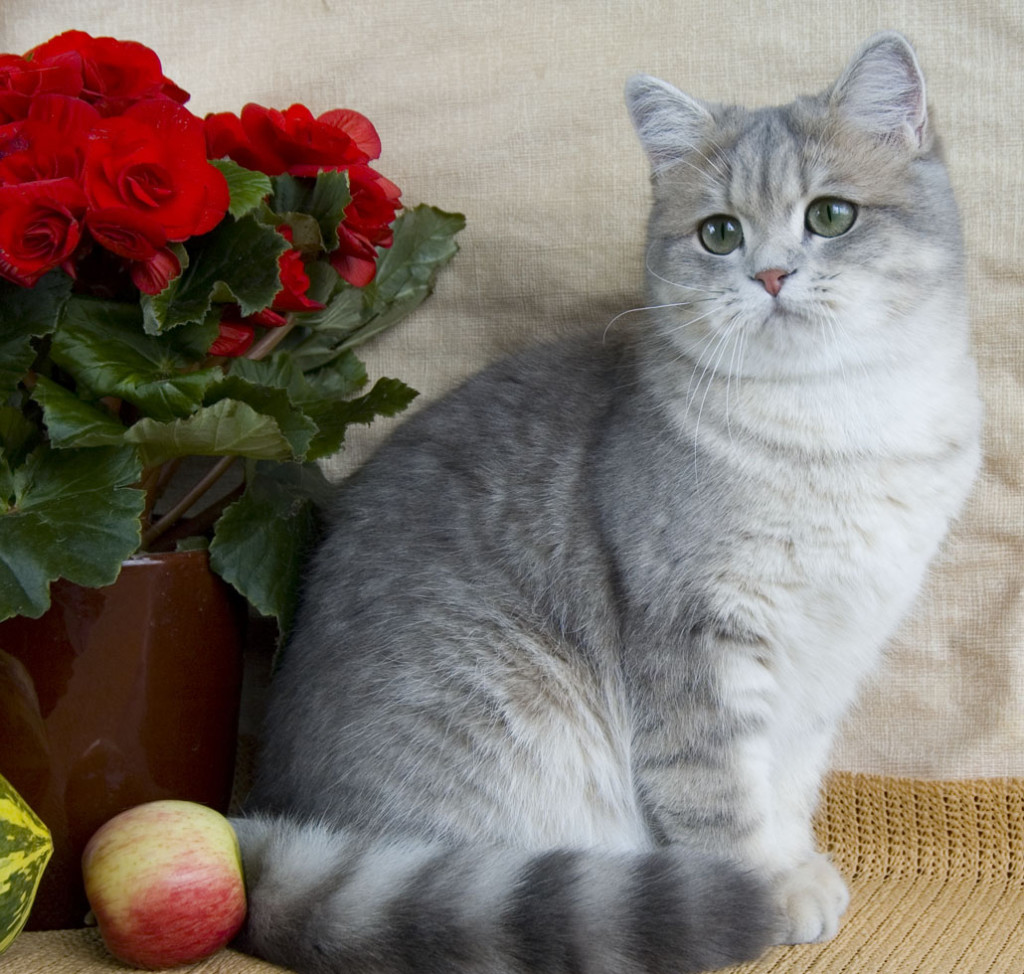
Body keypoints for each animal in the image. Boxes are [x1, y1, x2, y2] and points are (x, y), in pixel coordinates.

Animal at [234, 30, 983, 974]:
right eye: (719, 233)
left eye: (831, 216)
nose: (772, 274)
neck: (834, 426)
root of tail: (279, 824)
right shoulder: (694, 637)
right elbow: (722, 790)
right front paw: (767, 888)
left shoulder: (831, 656)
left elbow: (789, 777)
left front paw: (797, 860)